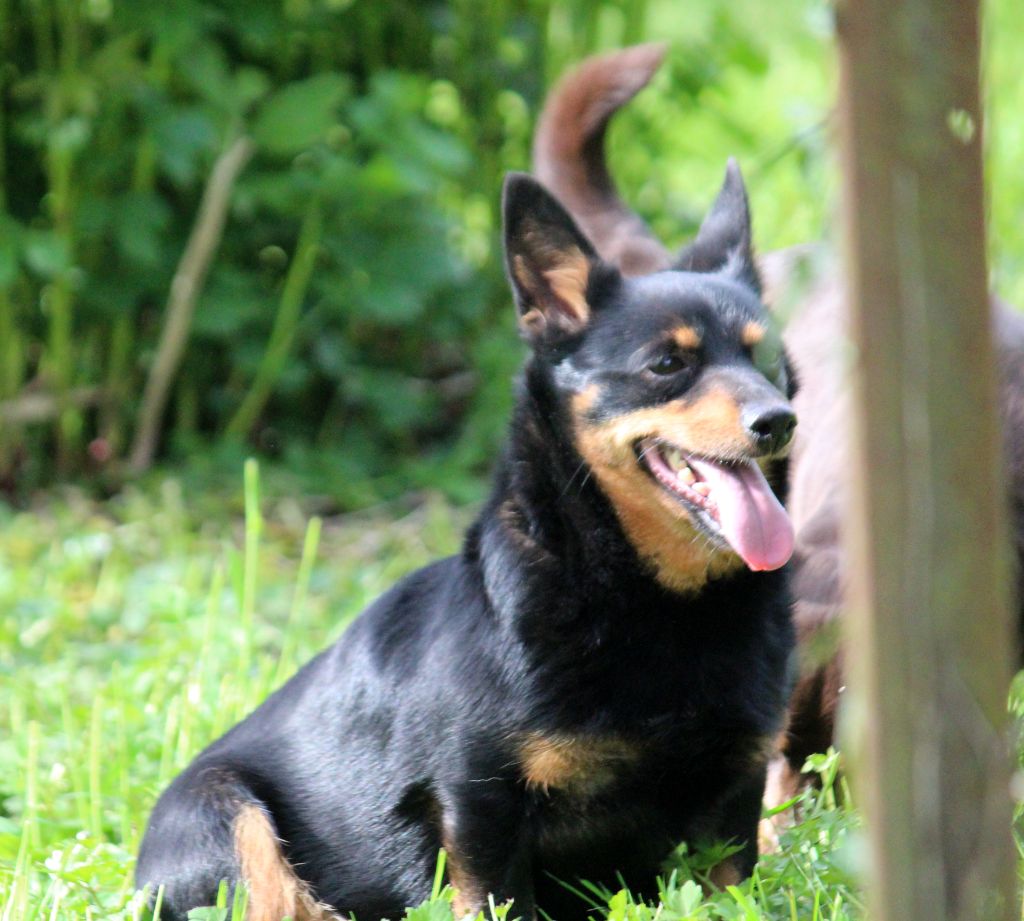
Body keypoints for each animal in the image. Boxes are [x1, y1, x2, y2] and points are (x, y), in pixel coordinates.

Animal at [138, 93, 798, 921]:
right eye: (667, 364)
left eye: (766, 359)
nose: (778, 419)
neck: (656, 599)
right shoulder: (479, 803)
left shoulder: (735, 793)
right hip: (221, 812)